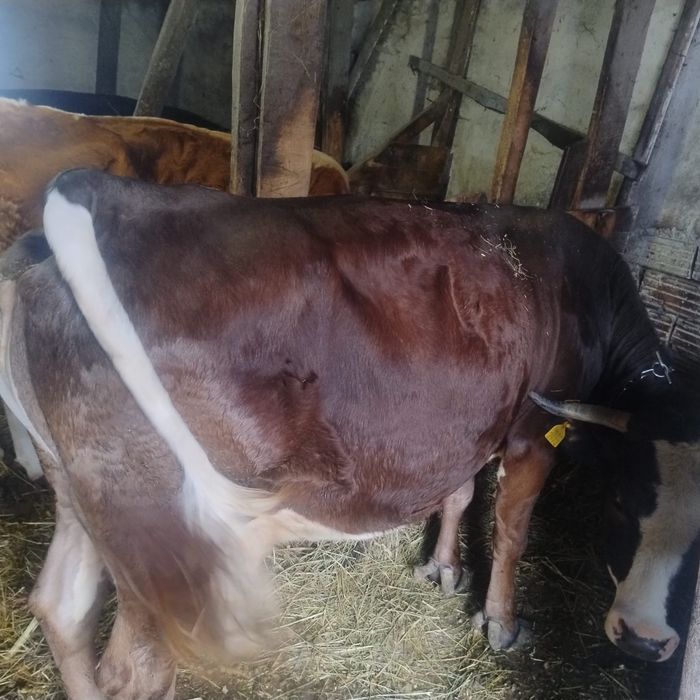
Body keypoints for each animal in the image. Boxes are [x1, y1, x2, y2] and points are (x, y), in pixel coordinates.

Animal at [1, 169, 699, 698]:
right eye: (620, 504)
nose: (643, 642)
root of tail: (114, 192)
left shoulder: (474, 420)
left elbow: (459, 491)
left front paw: (442, 568)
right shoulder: (533, 426)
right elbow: (511, 530)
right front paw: (500, 622)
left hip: (82, 491)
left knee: (63, 608)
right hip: (166, 529)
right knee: (135, 671)